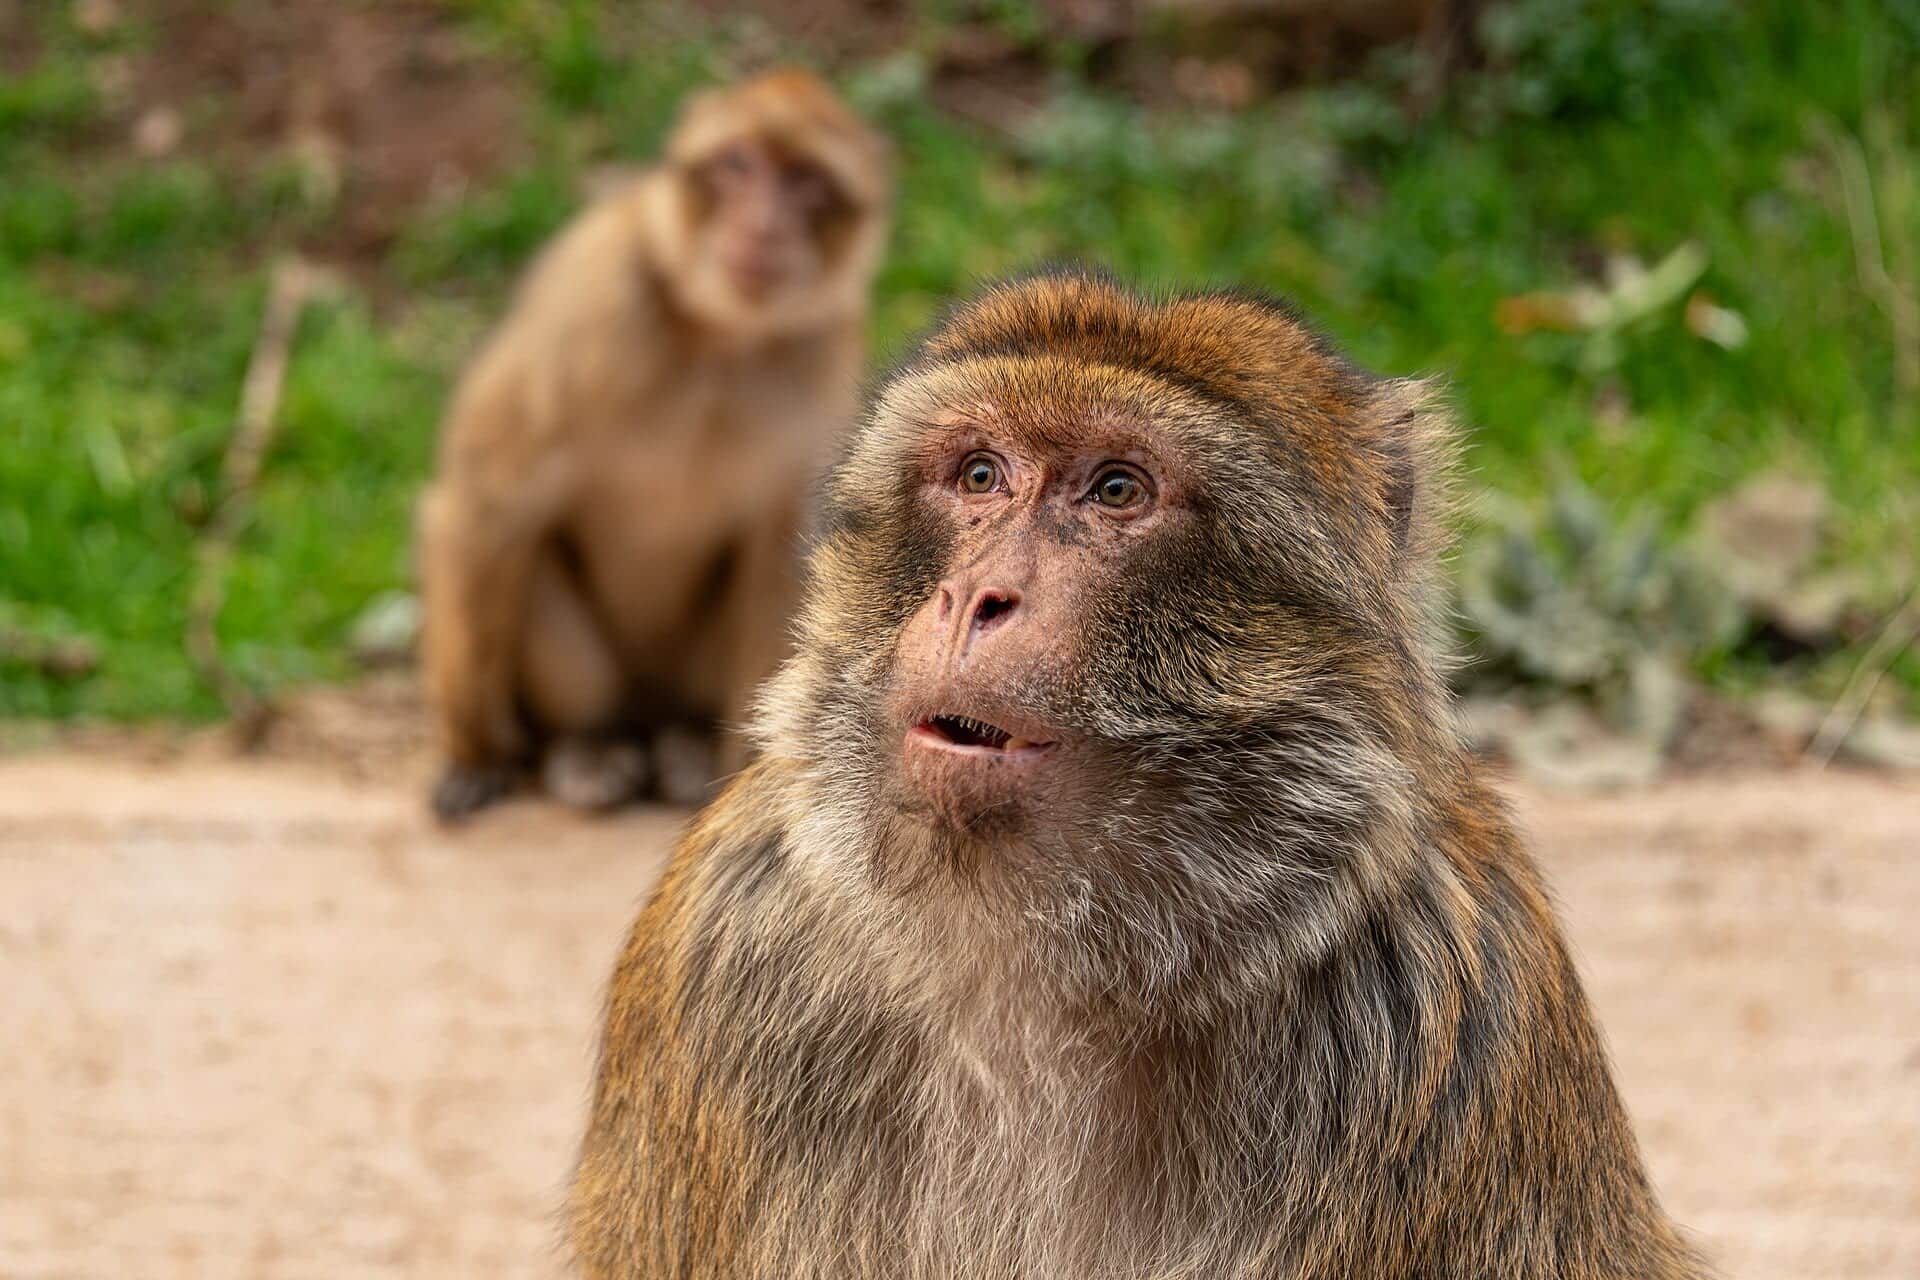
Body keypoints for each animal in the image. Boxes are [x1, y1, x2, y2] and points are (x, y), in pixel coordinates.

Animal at [416, 69, 891, 821]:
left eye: (806, 181)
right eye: (737, 165)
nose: (762, 225)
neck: (720, 340)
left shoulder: (827, 361)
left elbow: (782, 557)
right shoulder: (589, 304)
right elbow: (487, 505)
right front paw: (476, 754)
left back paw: (690, 745)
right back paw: (587, 744)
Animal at [567, 270, 1713, 1279]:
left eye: (1117, 489)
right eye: (979, 476)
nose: (976, 596)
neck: (1052, 957)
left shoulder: (1448, 998)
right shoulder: (727, 944)